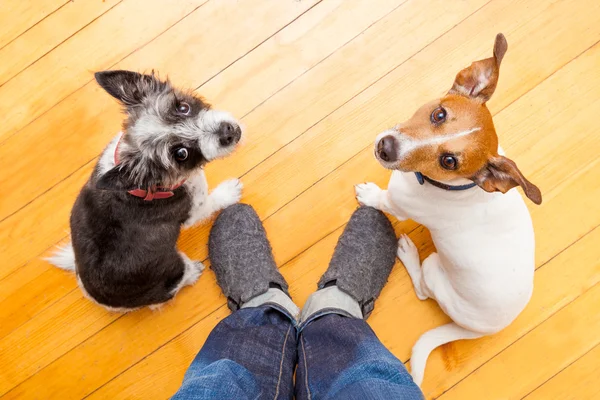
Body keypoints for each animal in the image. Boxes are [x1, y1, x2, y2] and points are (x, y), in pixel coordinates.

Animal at [48, 70, 241, 310]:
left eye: (183, 107)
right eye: (181, 154)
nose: (228, 132)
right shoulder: (194, 211)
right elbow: (212, 202)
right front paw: (229, 191)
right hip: (174, 270)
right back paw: (193, 272)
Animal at [354, 35, 540, 388]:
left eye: (449, 161)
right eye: (439, 114)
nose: (386, 148)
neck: (454, 187)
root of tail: (478, 331)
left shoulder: (398, 205)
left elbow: (382, 200)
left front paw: (368, 193)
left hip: (433, 271)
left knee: (422, 291)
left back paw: (407, 252)